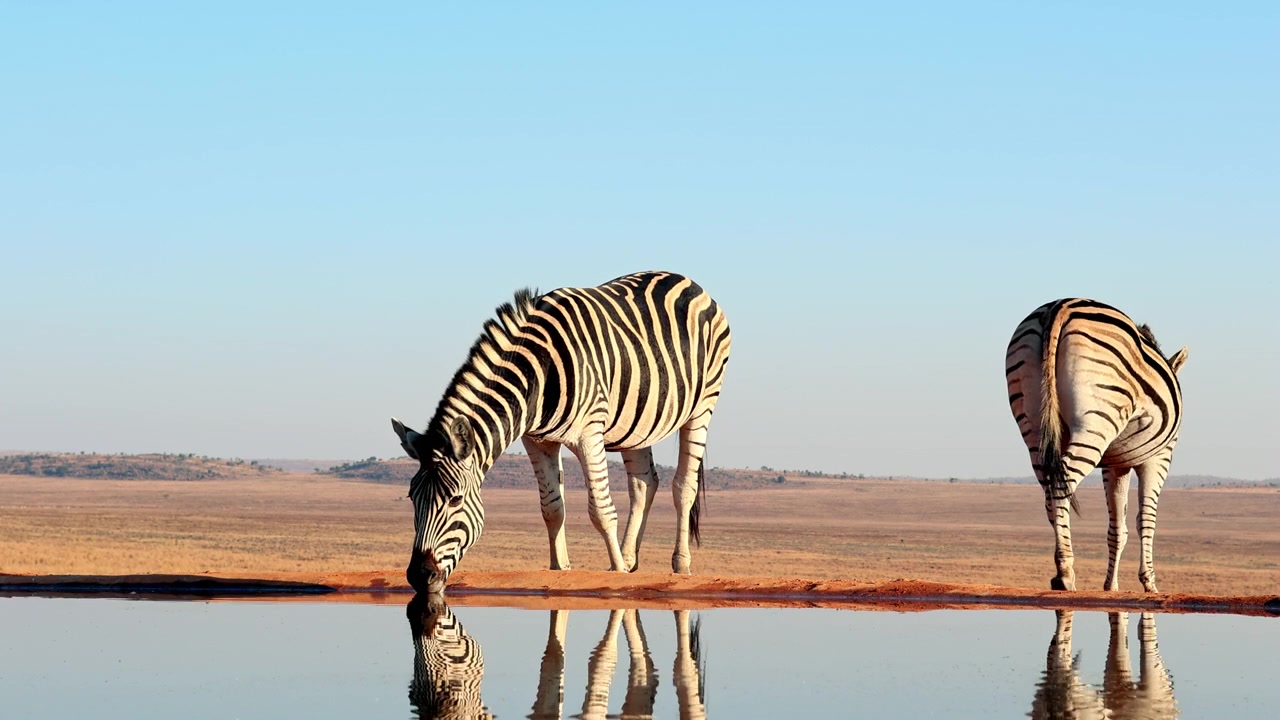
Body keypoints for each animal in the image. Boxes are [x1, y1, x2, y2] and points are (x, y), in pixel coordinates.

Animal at [391, 270, 732, 594]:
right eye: (411, 497)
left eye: (455, 500)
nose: (419, 576)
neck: (536, 378)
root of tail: (685, 279)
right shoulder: (536, 441)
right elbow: (552, 508)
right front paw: (561, 569)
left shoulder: (589, 433)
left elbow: (601, 510)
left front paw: (618, 574)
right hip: (638, 422)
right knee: (644, 484)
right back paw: (629, 557)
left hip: (702, 406)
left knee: (683, 486)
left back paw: (680, 564)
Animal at [1006, 298, 1188, 592]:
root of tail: (1061, 306)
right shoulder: (1159, 457)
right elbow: (1146, 520)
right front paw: (1149, 583)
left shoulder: (1115, 464)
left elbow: (1118, 528)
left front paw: (1110, 586)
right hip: (1096, 422)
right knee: (1063, 483)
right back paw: (1065, 572)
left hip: (1032, 426)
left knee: (1050, 490)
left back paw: (1061, 568)